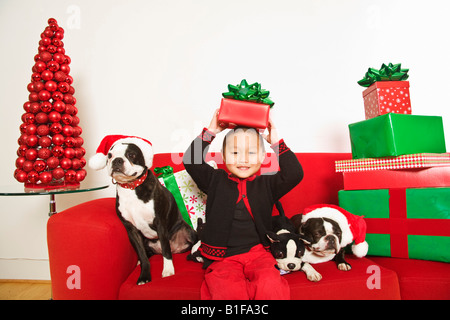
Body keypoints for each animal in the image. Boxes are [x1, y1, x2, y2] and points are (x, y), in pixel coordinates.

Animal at [89, 135, 197, 284]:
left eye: (131, 155)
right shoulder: (132, 230)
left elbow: (166, 250)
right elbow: (142, 255)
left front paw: (168, 270)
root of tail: (177, 248)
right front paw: (144, 275)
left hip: (186, 230)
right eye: (109, 156)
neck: (131, 187)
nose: (117, 160)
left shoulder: (160, 223)